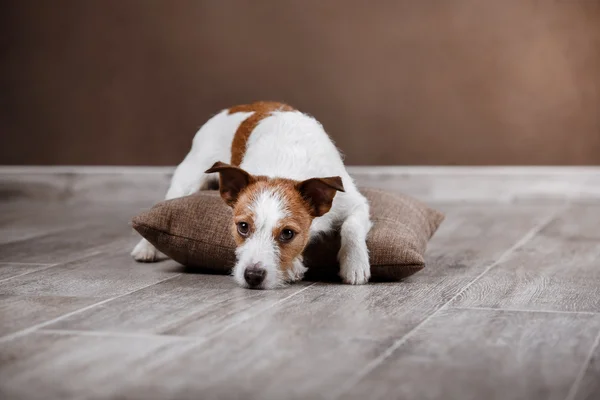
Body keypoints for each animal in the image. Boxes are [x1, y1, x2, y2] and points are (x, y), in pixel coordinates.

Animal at [132, 101, 370, 290]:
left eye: (288, 233)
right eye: (243, 227)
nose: (253, 276)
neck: (284, 165)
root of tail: (238, 107)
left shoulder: (356, 203)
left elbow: (351, 227)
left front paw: (355, 264)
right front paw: (294, 266)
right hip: (187, 180)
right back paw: (146, 248)